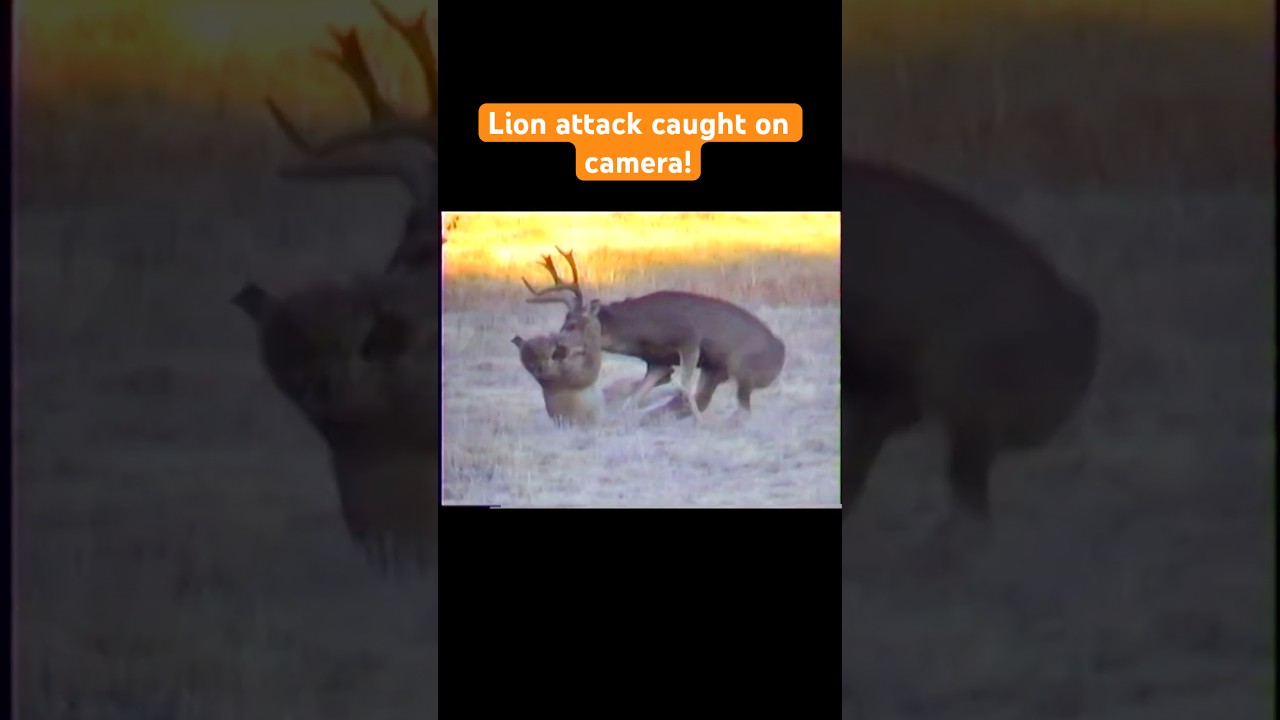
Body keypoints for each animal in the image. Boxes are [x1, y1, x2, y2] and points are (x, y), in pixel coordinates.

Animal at [520, 247, 787, 425]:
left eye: (573, 324)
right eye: (565, 321)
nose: (556, 343)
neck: (638, 329)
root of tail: (780, 353)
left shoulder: (689, 337)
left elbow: (684, 387)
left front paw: (700, 424)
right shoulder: (657, 362)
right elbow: (636, 397)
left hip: (742, 367)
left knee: (742, 407)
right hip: (716, 370)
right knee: (707, 398)